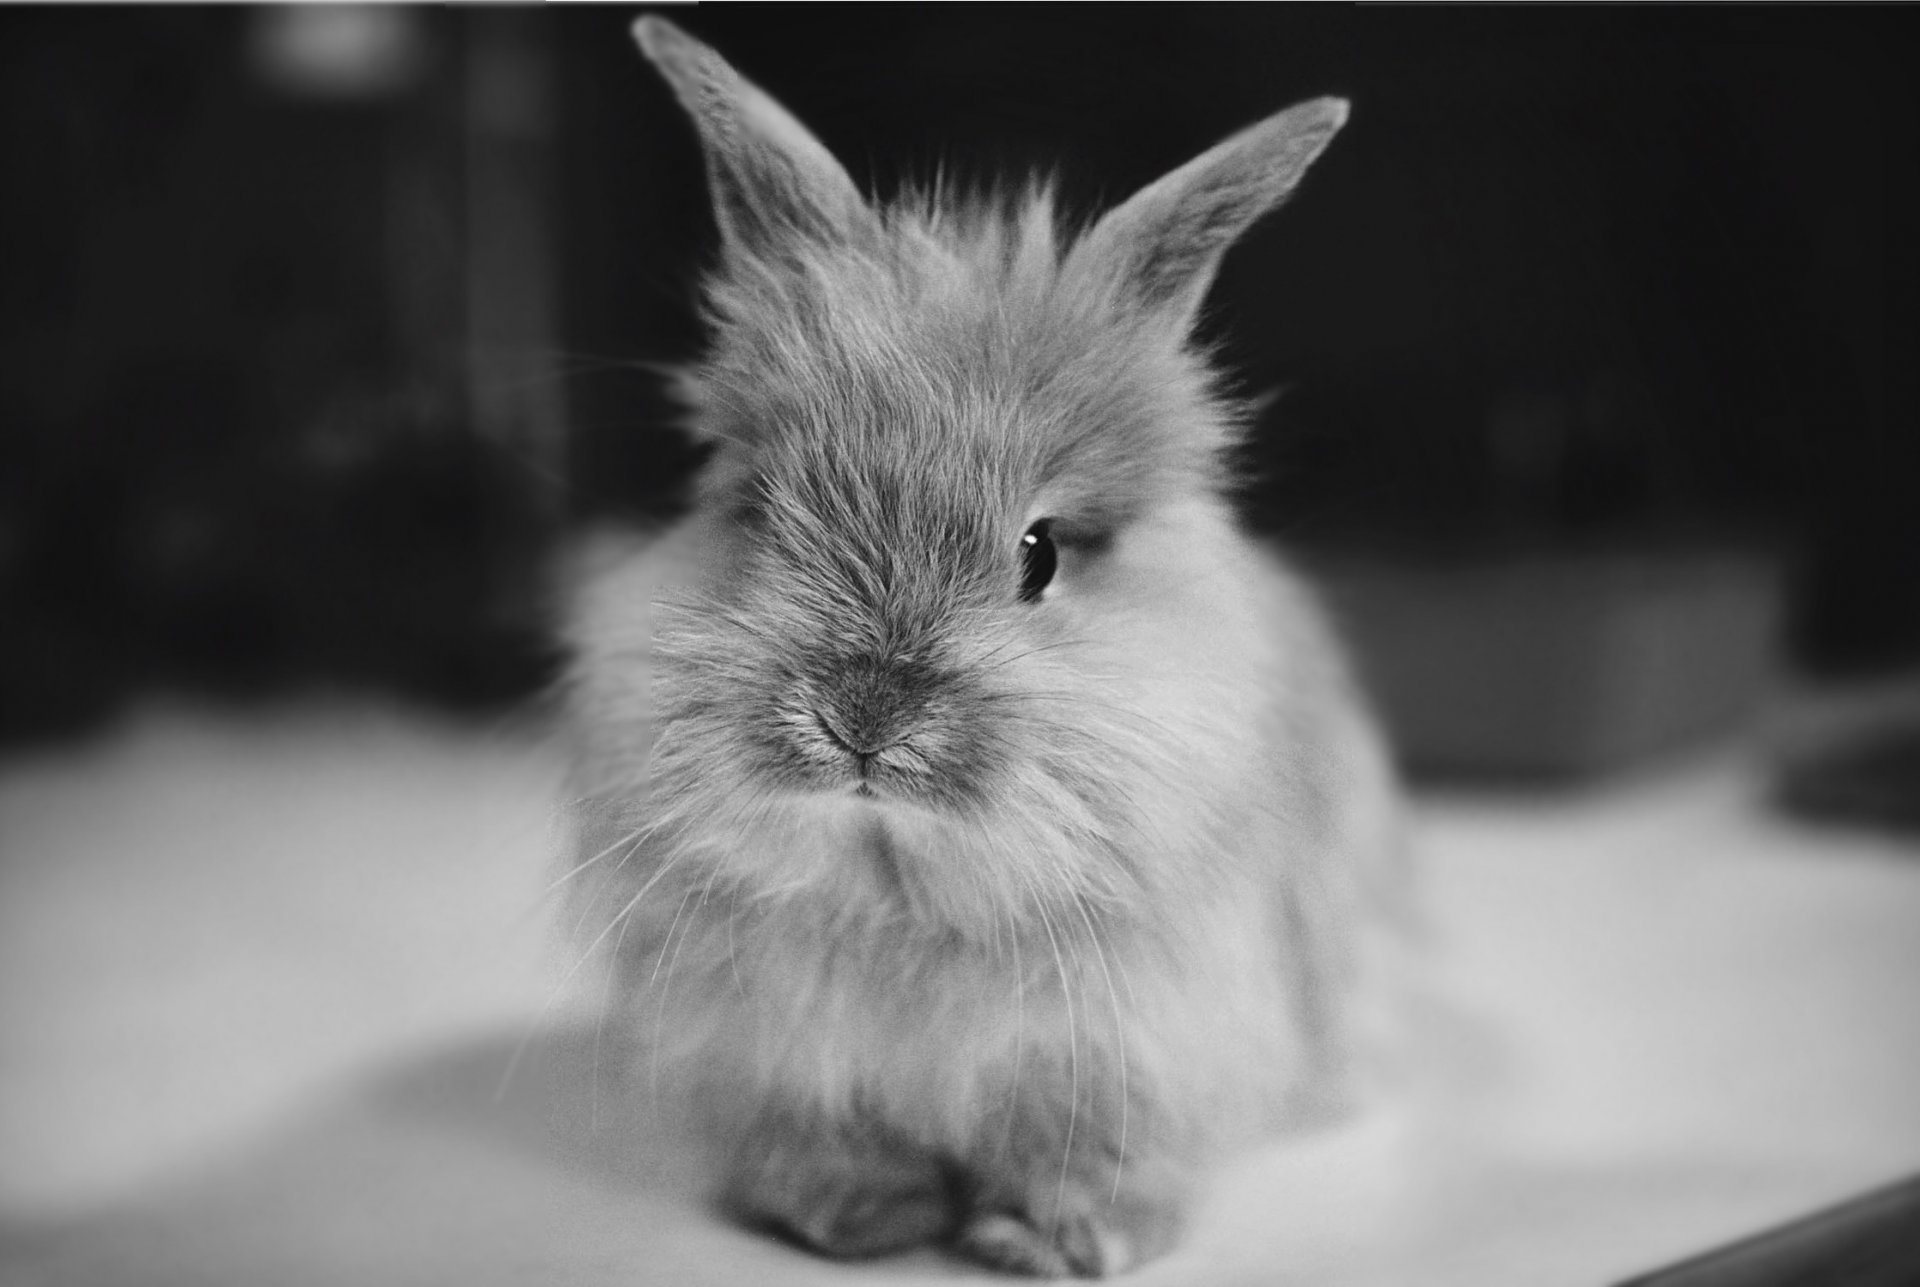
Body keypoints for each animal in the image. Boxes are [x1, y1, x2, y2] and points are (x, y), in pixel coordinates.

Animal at [560, 15, 1407, 1279]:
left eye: (1039, 555)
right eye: (759, 512)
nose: (863, 716)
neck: (904, 879)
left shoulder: (1126, 1046)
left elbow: (1090, 1155)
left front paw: (1056, 1245)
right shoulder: (780, 1058)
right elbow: (824, 1144)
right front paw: (861, 1221)